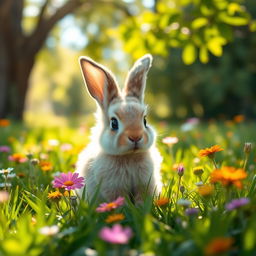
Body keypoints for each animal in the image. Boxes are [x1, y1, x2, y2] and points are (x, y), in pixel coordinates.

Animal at [77, 53, 163, 202]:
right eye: (114, 123)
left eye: (145, 120)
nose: (135, 137)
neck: (129, 156)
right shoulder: (113, 188)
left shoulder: (144, 184)